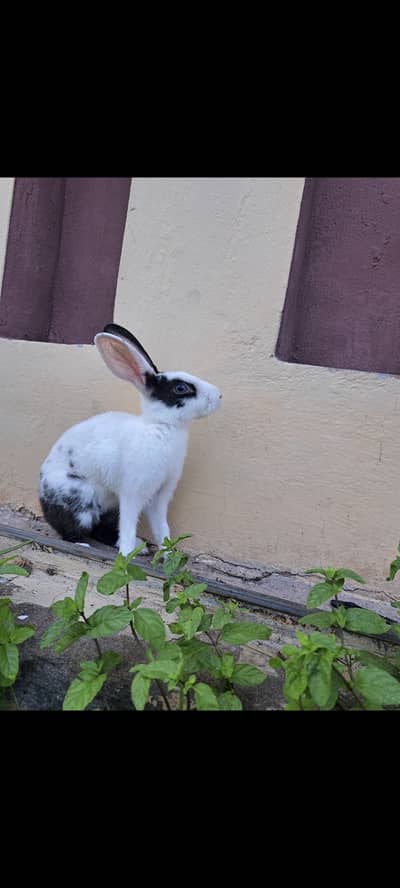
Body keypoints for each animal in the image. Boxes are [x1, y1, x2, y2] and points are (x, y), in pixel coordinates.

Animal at [38, 323, 222, 556]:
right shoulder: (132, 492)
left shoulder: (160, 496)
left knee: (102, 531)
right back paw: (85, 544)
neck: (161, 426)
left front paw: (167, 554)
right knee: (74, 530)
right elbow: (128, 522)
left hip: (109, 504)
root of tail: (42, 499)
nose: (218, 395)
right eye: (181, 388)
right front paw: (125, 555)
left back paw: (139, 547)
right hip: (81, 501)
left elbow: (162, 527)